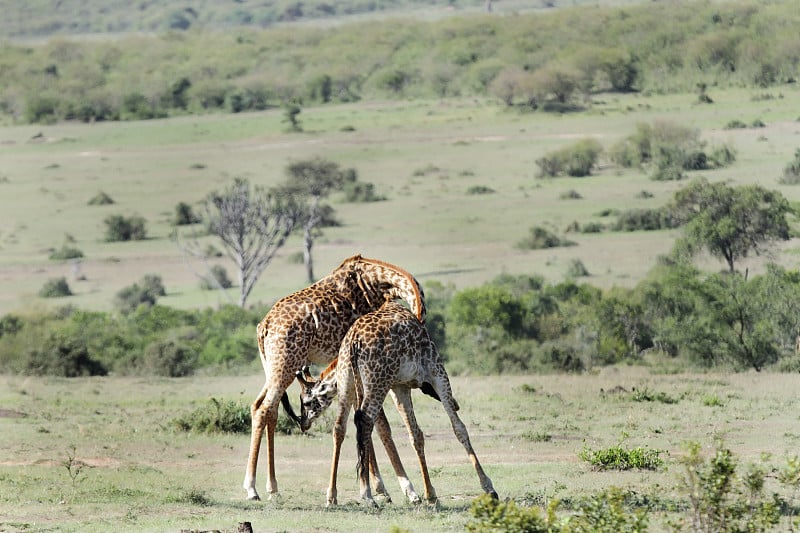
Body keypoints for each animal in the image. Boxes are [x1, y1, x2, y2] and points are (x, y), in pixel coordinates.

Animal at [242, 254, 424, 498]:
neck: (377, 283)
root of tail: (264, 327)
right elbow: (380, 424)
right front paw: (394, 488)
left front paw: (378, 487)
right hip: (284, 366)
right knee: (264, 409)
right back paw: (252, 488)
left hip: (272, 368)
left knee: (264, 408)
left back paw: (272, 487)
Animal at [296, 302, 496, 504]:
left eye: (307, 402)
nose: (303, 424)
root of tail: (354, 341)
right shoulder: (437, 372)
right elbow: (459, 428)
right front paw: (488, 487)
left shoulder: (400, 387)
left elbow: (415, 435)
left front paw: (429, 494)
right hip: (378, 382)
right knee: (364, 422)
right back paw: (367, 494)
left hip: (350, 383)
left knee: (341, 427)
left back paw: (332, 495)